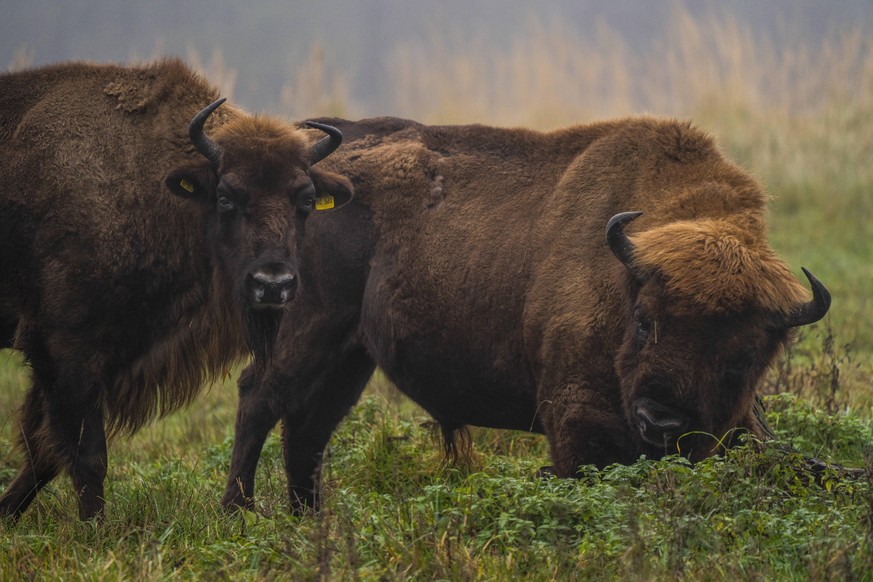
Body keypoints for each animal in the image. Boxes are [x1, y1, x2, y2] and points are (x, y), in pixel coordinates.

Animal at [1, 59, 354, 524]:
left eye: (307, 199)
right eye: (225, 196)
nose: (272, 284)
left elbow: (44, 452)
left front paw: (6, 513)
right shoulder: (63, 347)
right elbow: (85, 452)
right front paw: (96, 529)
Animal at [220, 115, 832, 516]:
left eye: (746, 356)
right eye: (644, 320)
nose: (660, 422)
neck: (625, 270)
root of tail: (314, 175)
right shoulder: (578, 424)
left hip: (350, 355)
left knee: (309, 425)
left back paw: (309, 519)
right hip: (305, 327)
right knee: (260, 399)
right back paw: (239, 512)